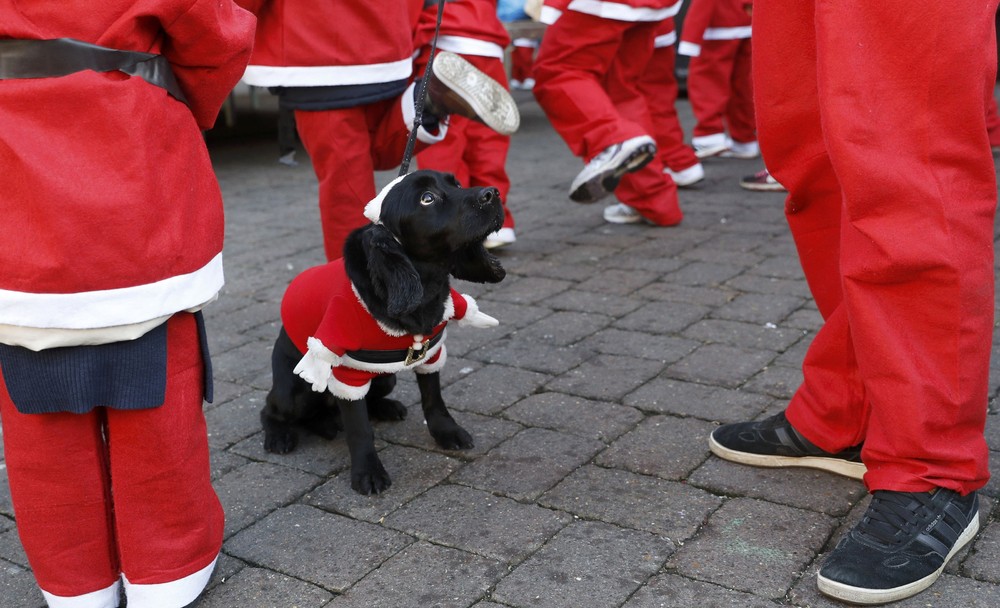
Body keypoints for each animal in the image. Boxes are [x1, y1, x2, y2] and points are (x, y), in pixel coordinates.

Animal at [262, 171, 504, 494]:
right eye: (427, 198)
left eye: (456, 184)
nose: (493, 193)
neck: (425, 287)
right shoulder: (346, 370)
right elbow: (360, 428)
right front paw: (368, 472)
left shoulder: (431, 352)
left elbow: (434, 400)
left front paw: (447, 432)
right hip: (292, 392)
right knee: (271, 409)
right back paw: (280, 435)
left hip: (385, 379)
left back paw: (380, 409)